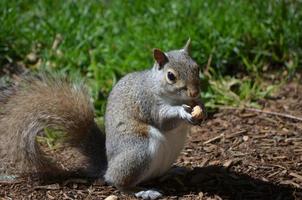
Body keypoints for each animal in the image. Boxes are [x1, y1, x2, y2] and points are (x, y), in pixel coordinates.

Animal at [0, 39, 205, 200]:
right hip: (139, 151)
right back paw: (142, 191)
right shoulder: (146, 101)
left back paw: (172, 171)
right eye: (171, 76)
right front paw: (182, 112)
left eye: (197, 67)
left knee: (155, 174)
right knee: (118, 182)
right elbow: (162, 119)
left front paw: (201, 109)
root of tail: (108, 165)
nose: (195, 92)